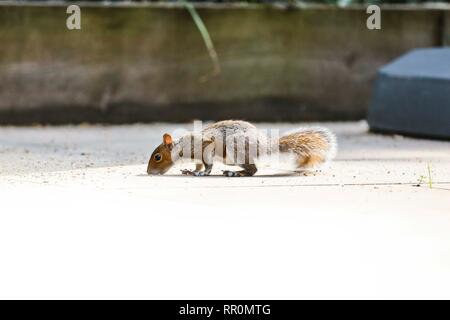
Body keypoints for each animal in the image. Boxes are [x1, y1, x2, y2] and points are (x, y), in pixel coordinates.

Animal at [148, 119, 338, 176]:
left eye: (157, 156)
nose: (149, 172)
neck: (181, 146)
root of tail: (266, 145)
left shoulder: (204, 146)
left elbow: (207, 164)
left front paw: (202, 173)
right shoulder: (198, 156)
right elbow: (198, 164)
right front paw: (191, 170)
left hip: (236, 149)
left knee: (253, 170)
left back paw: (235, 173)